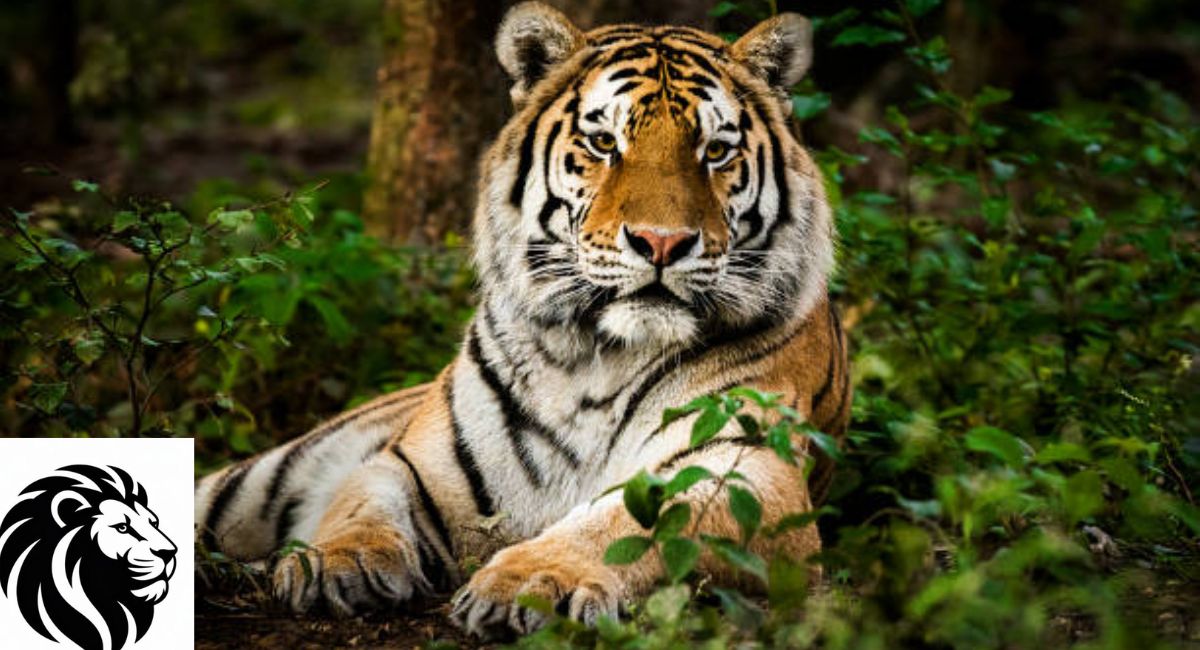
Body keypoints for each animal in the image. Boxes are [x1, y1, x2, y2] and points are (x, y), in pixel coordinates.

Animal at [194, 2, 849, 638]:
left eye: (715, 151)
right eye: (604, 143)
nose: (661, 243)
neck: (598, 357)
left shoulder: (746, 469)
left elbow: (628, 527)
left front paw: (533, 583)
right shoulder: (411, 464)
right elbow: (361, 504)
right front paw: (335, 562)